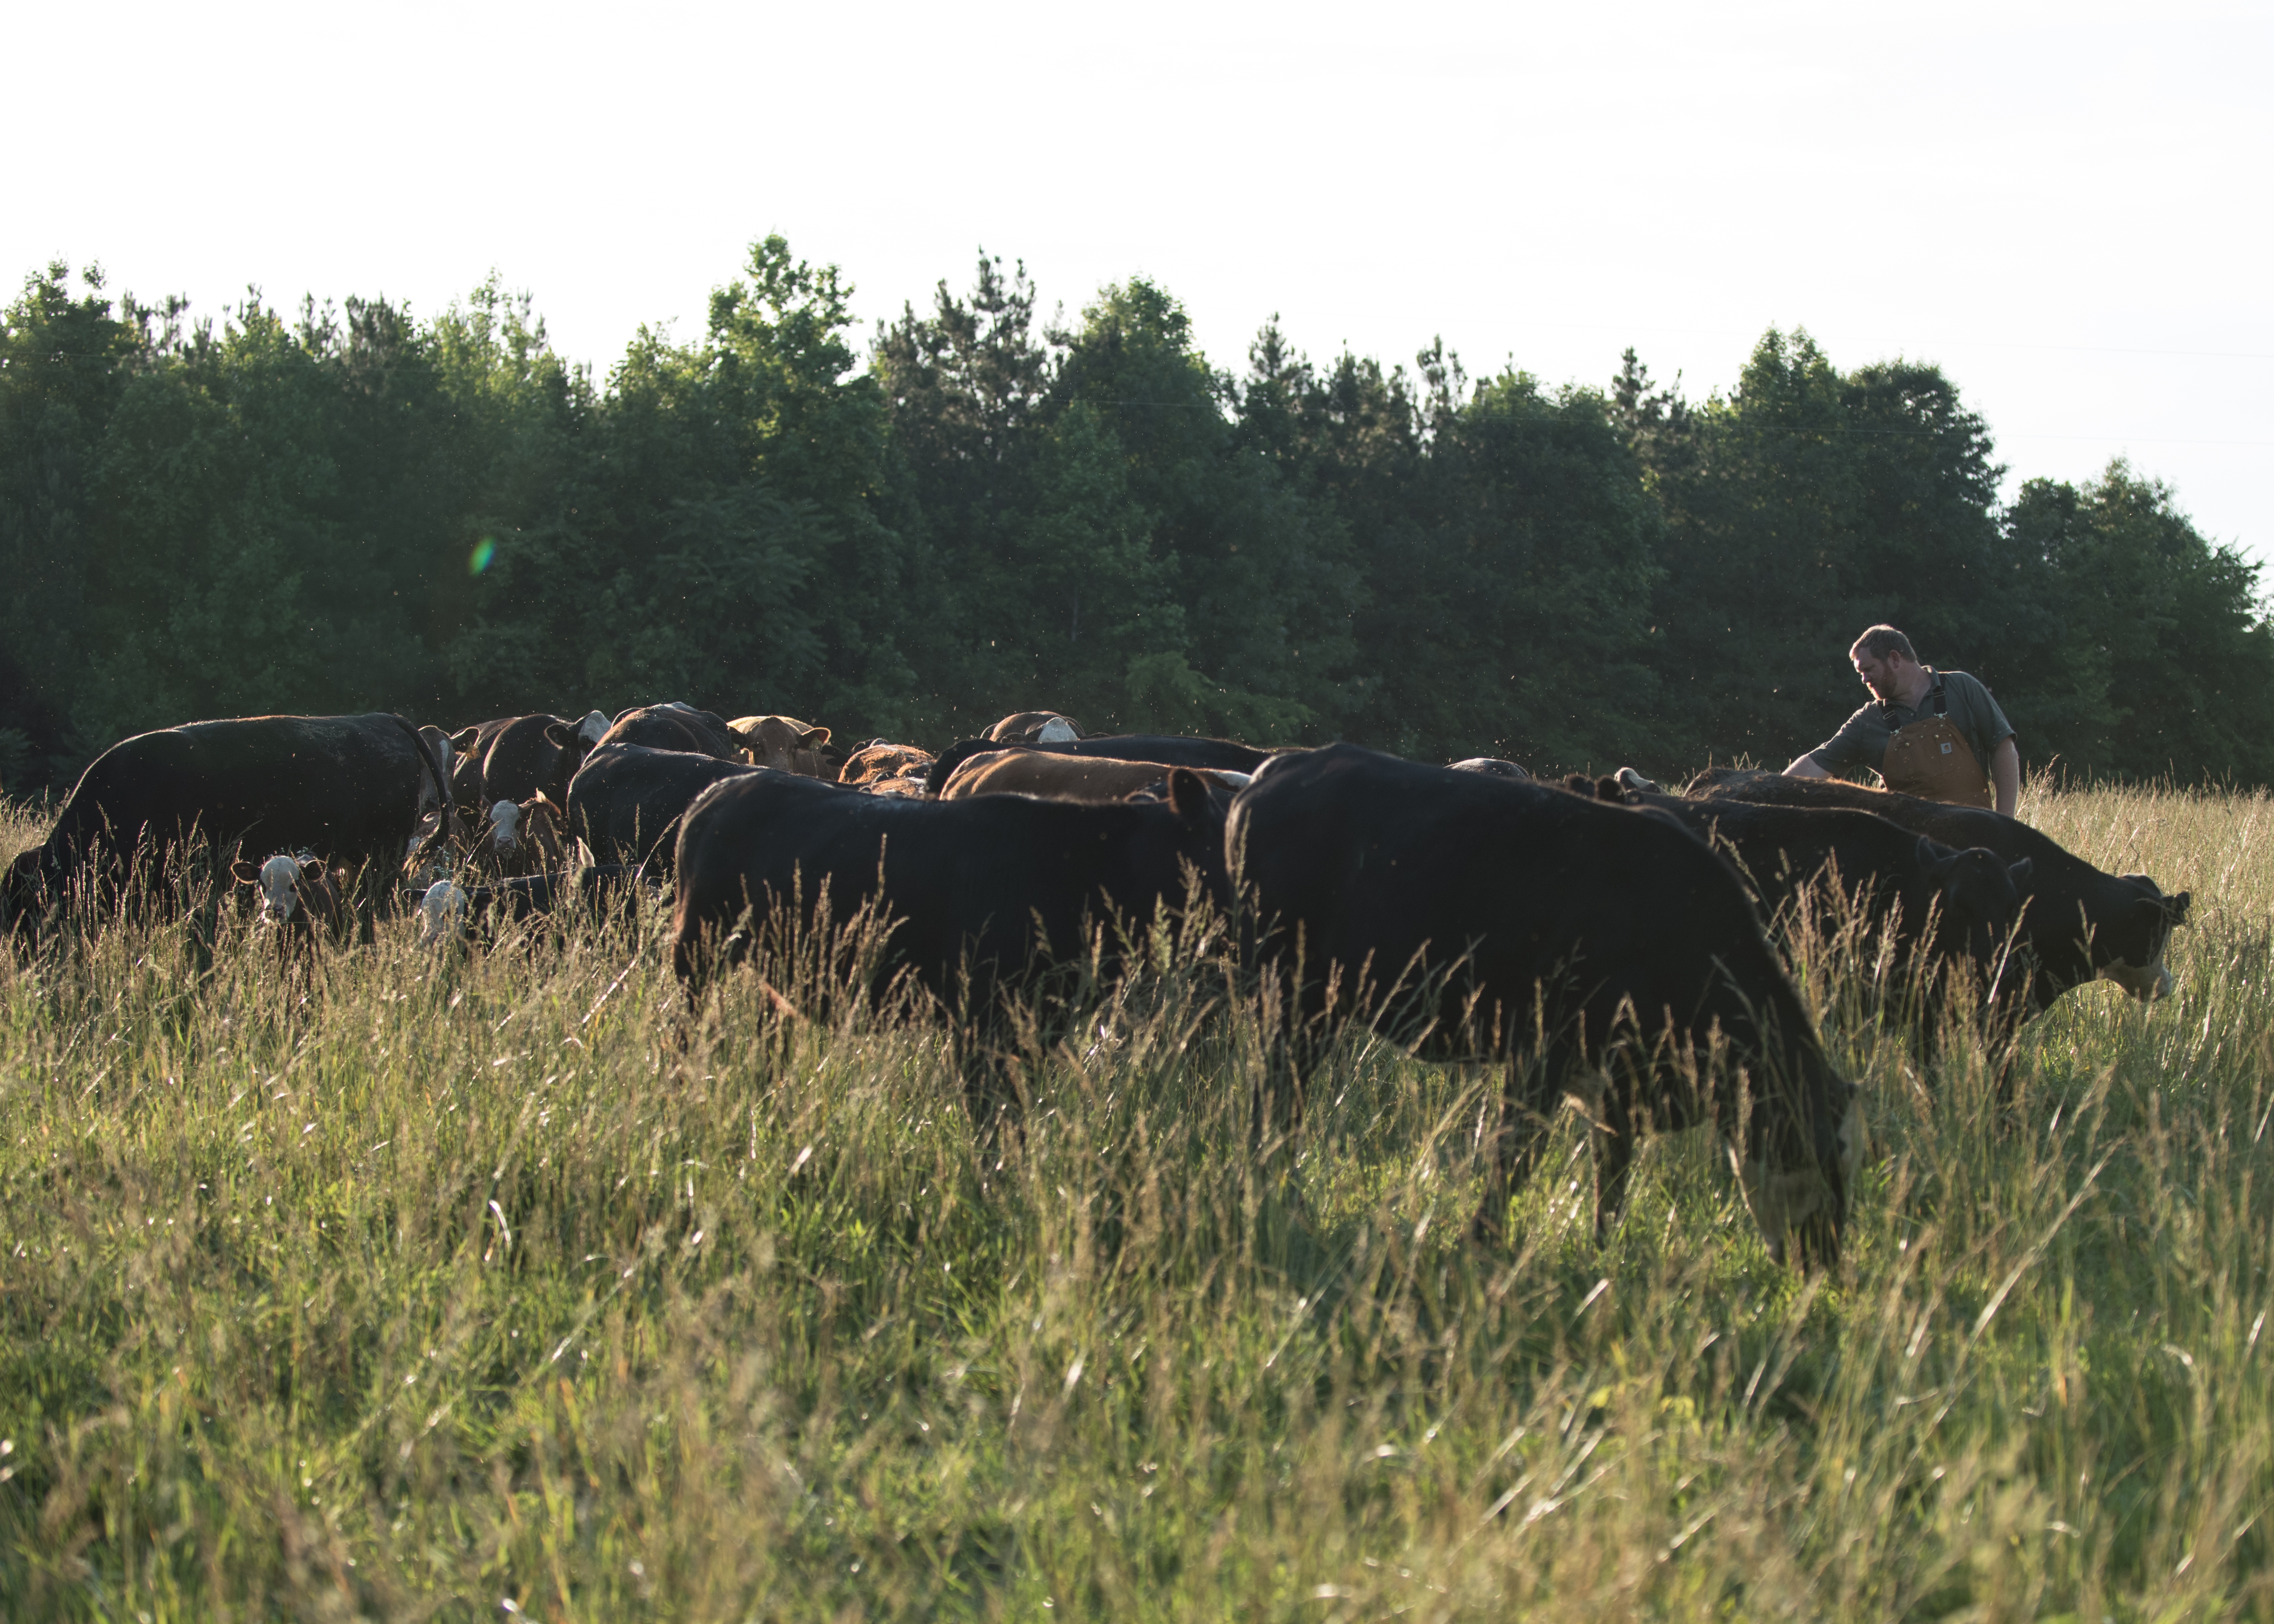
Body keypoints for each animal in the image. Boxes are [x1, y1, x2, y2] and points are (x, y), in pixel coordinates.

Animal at [1237, 741, 1856, 1264]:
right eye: (1814, 1148)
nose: (1826, 1258)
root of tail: (1285, 765)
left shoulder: (1615, 1082)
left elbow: (1612, 1172)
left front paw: (1602, 1250)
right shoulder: (1542, 1051)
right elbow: (1516, 1154)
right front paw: (1480, 1243)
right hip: (1293, 997)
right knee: (1278, 1098)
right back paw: (1281, 1198)